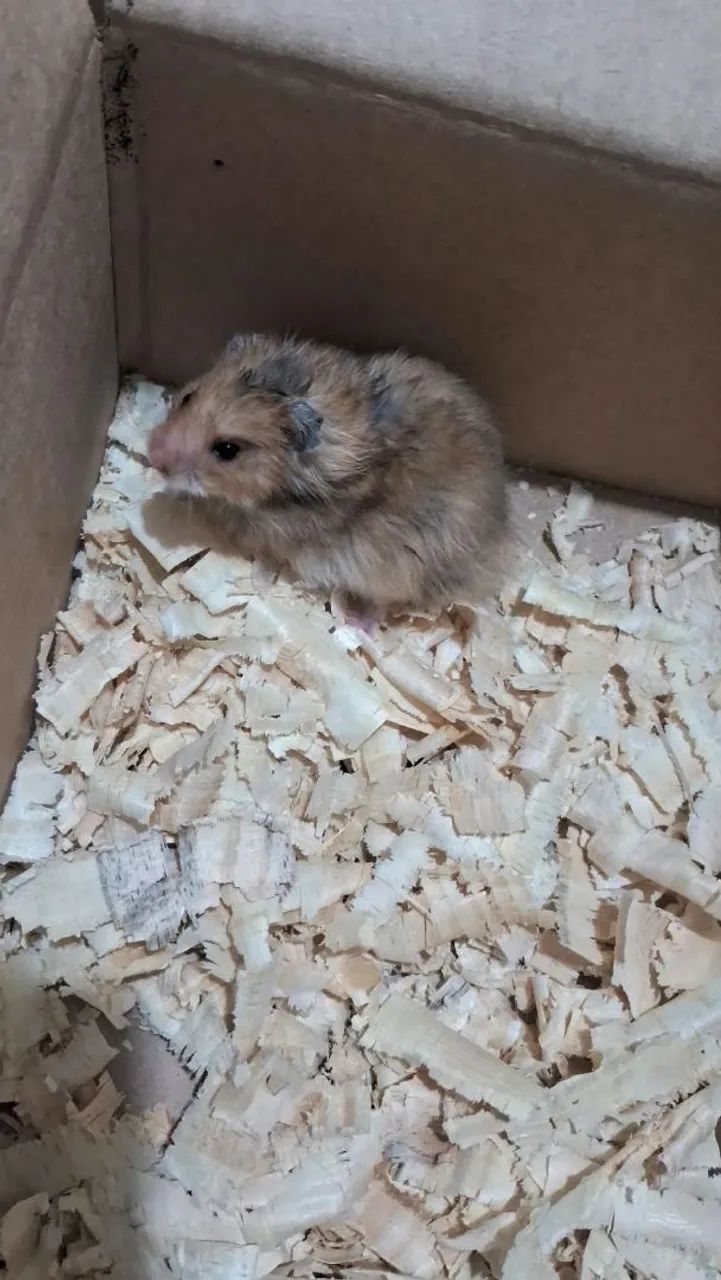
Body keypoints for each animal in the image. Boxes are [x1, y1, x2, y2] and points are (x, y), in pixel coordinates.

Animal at [147, 333, 506, 624]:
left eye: (227, 450)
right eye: (188, 397)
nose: (153, 455)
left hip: (398, 566)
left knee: (386, 602)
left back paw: (356, 623)